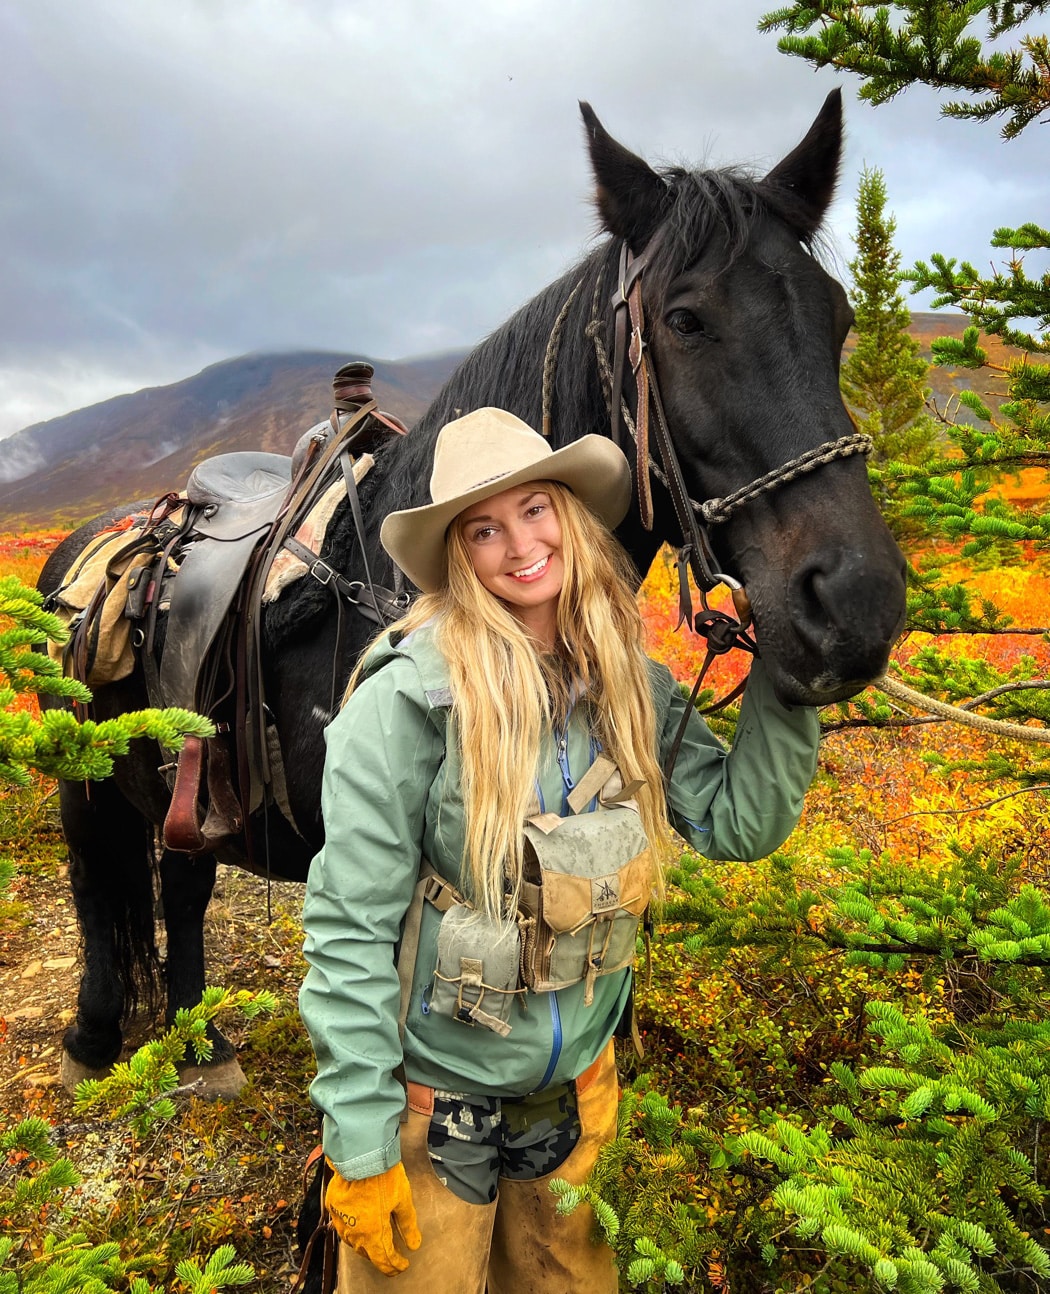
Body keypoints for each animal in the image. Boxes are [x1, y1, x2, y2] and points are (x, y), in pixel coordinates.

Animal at [34, 91, 901, 1097]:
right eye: (685, 319)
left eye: (839, 317)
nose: (855, 604)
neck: (394, 582)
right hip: (83, 782)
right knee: (99, 887)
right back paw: (95, 1038)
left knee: (184, 880)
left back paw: (197, 1040)